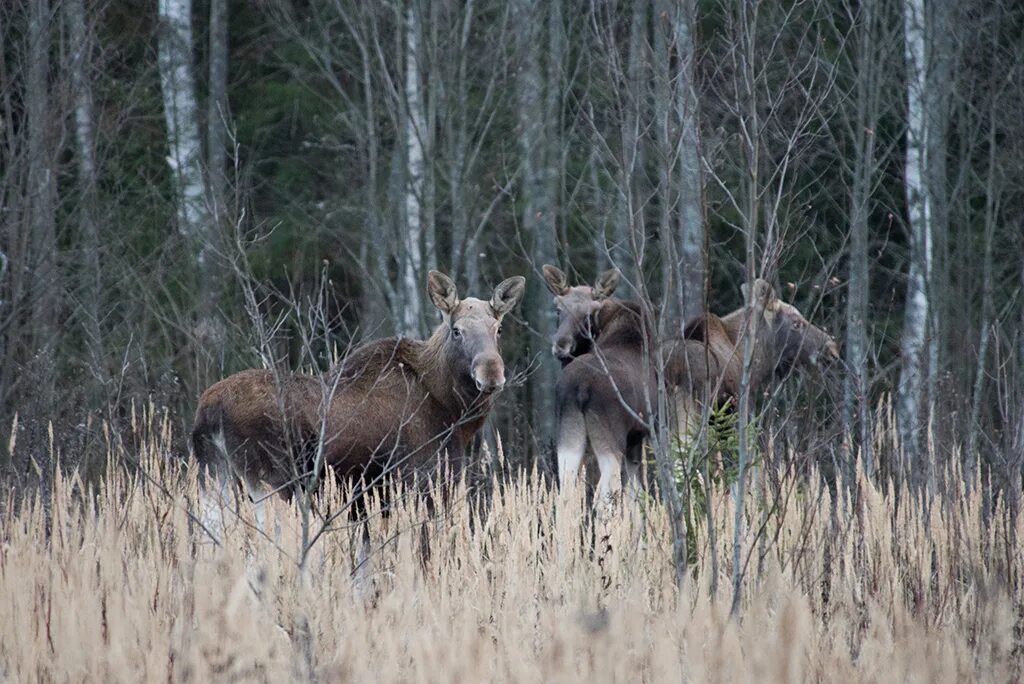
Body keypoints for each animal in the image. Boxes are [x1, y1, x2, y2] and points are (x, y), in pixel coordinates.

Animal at [544, 264, 839, 505]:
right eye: (797, 323)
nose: (832, 348)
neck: (748, 358)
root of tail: (581, 387)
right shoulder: (731, 418)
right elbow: (739, 479)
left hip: (573, 436)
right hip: (675, 427)